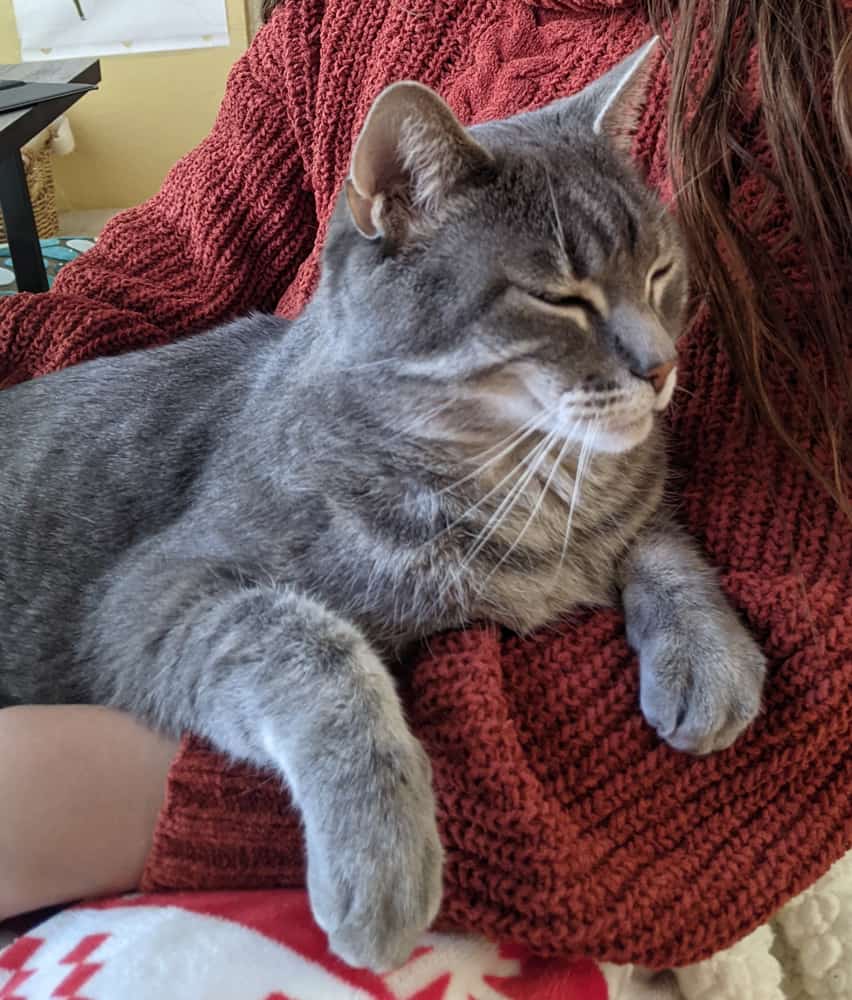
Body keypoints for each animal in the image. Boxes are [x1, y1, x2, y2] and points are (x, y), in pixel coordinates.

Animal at [0, 41, 764, 968]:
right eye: (560, 297)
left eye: (660, 273)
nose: (662, 369)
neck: (530, 485)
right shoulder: (149, 595)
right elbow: (315, 647)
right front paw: (382, 855)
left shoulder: (628, 501)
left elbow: (659, 539)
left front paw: (709, 651)